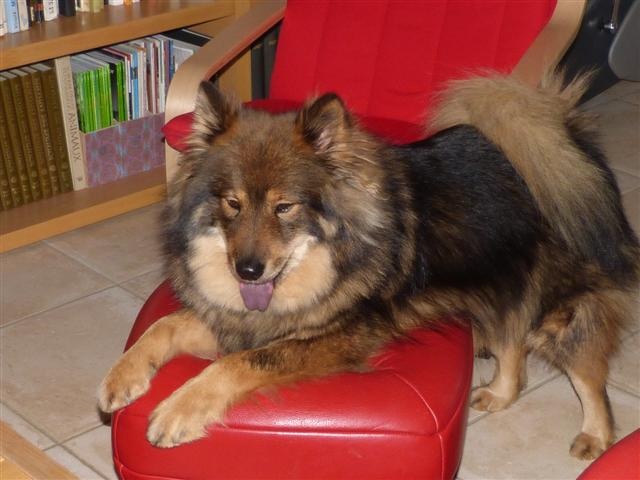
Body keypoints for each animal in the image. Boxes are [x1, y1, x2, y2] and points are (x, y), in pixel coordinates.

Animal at [98, 73, 639, 460]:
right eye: (232, 203)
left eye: (284, 207)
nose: (247, 271)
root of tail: (568, 142)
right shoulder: (241, 322)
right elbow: (165, 327)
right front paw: (121, 378)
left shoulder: (333, 338)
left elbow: (236, 364)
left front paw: (177, 411)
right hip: (498, 281)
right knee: (512, 344)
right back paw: (501, 394)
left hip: (558, 308)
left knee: (587, 373)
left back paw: (596, 436)